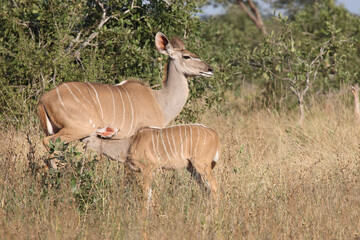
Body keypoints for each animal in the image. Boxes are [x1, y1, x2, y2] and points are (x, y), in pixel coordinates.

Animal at [38, 32, 214, 163]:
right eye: (186, 56)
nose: (210, 69)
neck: (159, 100)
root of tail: (44, 100)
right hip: (78, 129)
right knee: (49, 143)